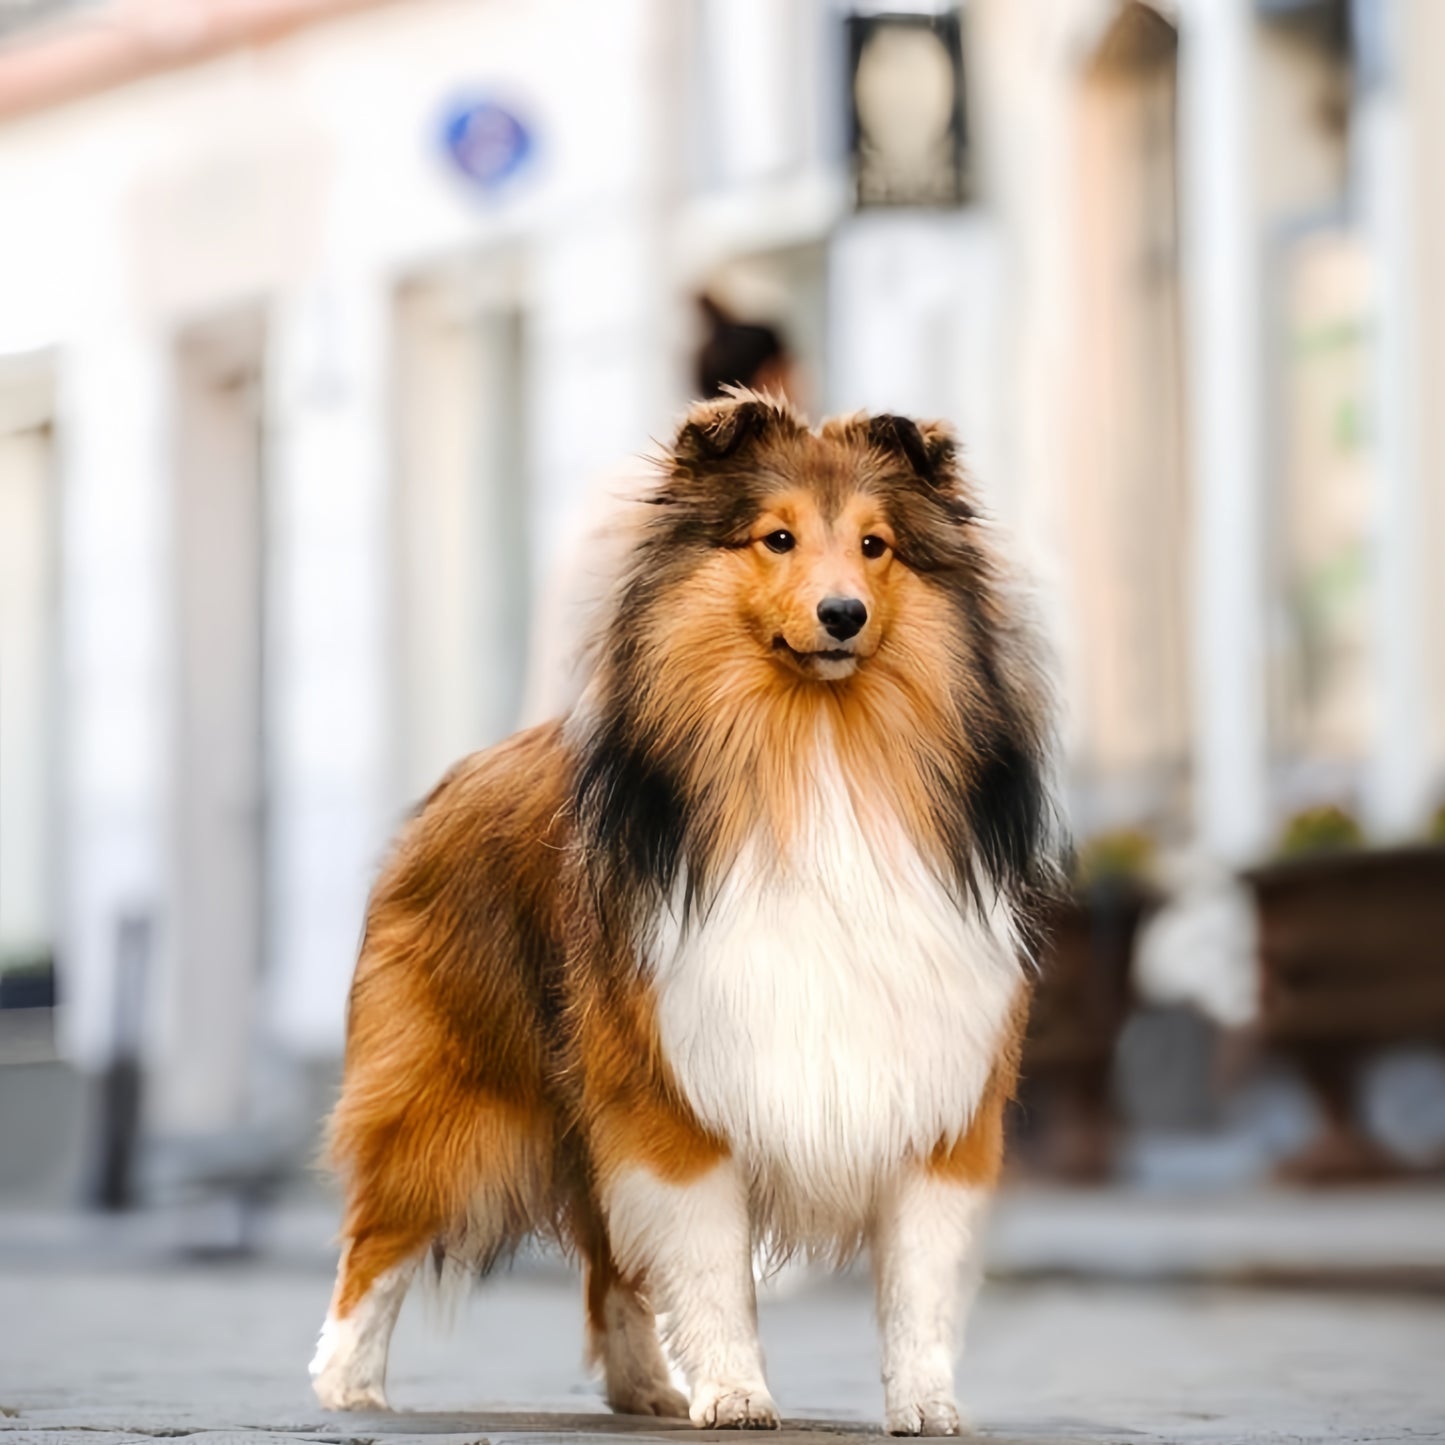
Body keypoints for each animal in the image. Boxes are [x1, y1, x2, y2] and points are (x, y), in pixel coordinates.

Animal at [310, 393, 1057, 1433]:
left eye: (875, 545)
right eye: (777, 537)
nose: (842, 615)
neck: (818, 753)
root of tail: (455, 778)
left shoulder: (932, 1090)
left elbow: (916, 1278)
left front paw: (925, 1404)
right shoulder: (678, 1089)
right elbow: (709, 1266)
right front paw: (737, 1392)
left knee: (610, 1267)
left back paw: (644, 1387)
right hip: (449, 1094)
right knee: (376, 1239)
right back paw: (347, 1383)